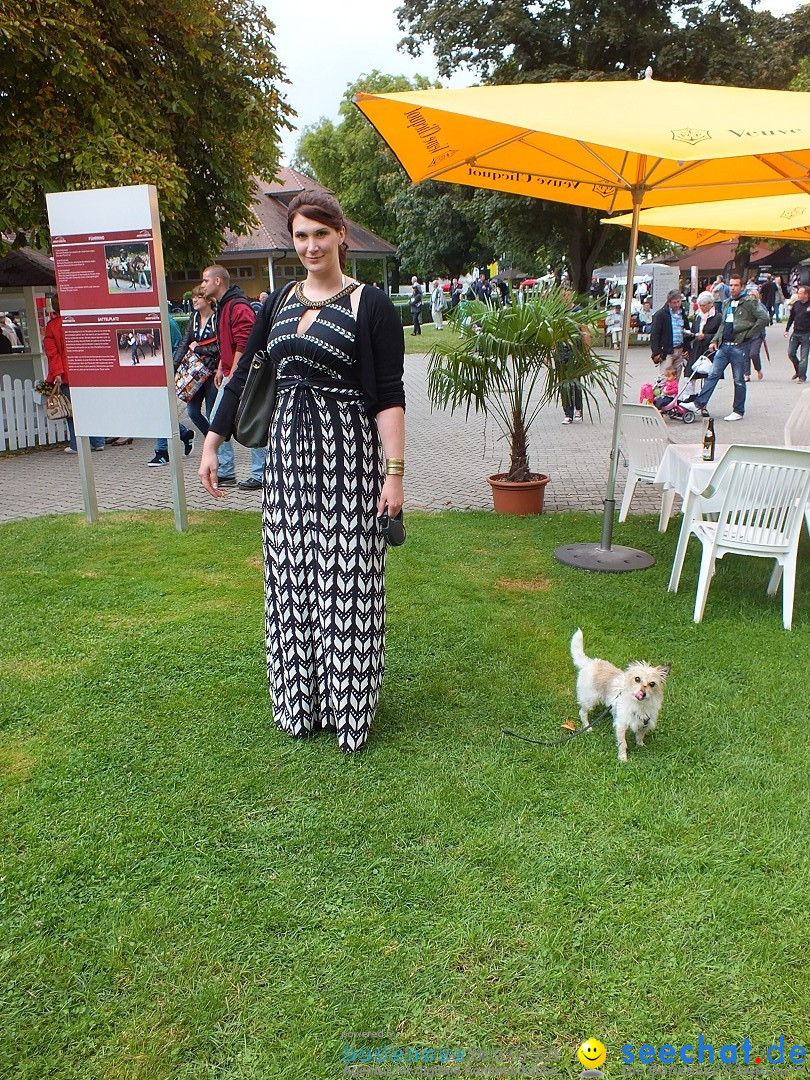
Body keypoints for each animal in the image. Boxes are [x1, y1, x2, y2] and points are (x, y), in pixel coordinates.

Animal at [570, 630, 673, 764]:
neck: (639, 705)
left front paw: (640, 745)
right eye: (637, 679)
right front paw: (623, 758)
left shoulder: (644, 723)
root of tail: (591, 663)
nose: (642, 692)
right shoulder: (621, 725)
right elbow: (622, 743)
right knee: (582, 712)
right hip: (590, 699)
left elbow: (640, 735)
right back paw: (587, 727)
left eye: (652, 684)